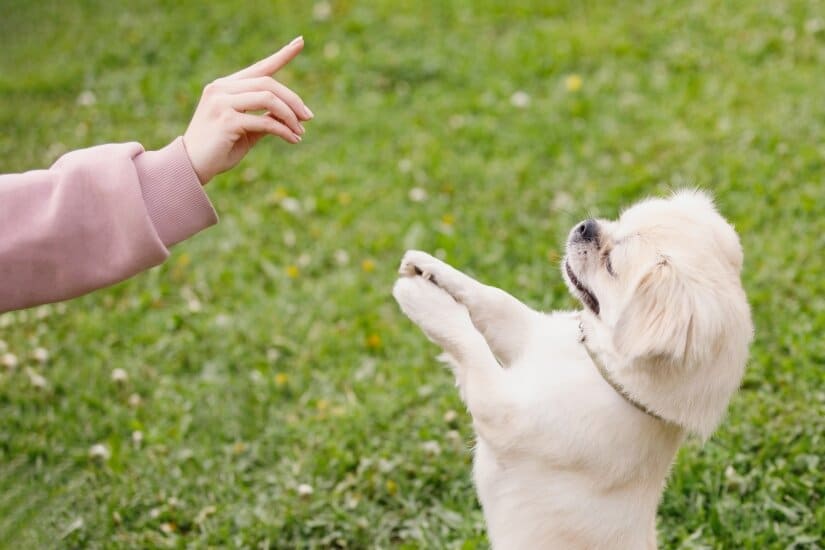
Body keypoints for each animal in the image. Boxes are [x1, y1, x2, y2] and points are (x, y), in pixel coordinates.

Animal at [392, 191, 752, 550]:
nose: (585, 227)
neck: (595, 365)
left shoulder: (498, 408)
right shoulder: (528, 337)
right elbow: (494, 299)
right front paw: (427, 267)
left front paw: (422, 298)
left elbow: (468, 341)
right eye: (619, 220)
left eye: (611, 266)